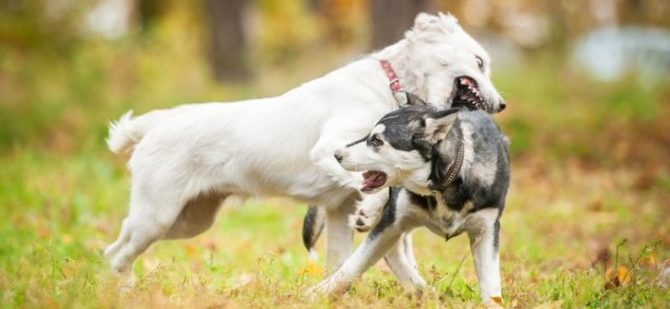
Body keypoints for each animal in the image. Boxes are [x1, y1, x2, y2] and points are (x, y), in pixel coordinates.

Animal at [103, 12, 504, 282]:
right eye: (479, 62)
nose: (501, 105)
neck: (386, 85)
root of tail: (156, 124)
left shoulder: (338, 211)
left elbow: (348, 263)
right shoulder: (330, 148)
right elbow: (363, 182)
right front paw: (370, 210)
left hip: (186, 220)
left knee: (113, 250)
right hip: (159, 216)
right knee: (117, 256)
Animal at [310, 97, 510, 302]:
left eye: (376, 140)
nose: (337, 154)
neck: (444, 185)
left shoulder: (486, 230)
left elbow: (491, 285)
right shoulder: (392, 222)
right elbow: (353, 266)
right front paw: (318, 293)